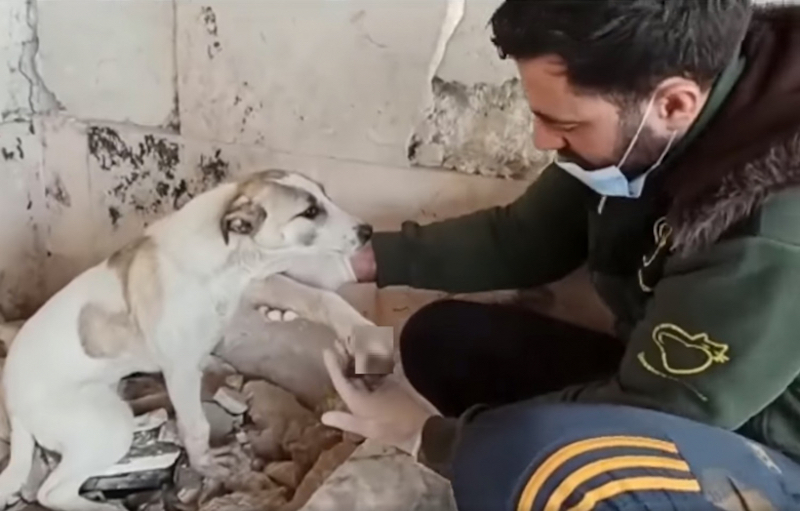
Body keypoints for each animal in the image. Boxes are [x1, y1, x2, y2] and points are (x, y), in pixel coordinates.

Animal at [0, 170, 376, 510]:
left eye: (325, 195)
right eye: (310, 211)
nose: (368, 230)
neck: (228, 254)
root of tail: (13, 405)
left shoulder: (257, 287)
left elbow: (322, 298)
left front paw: (356, 327)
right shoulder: (179, 369)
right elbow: (196, 427)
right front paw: (207, 465)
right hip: (105, 425)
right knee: (53, 493)